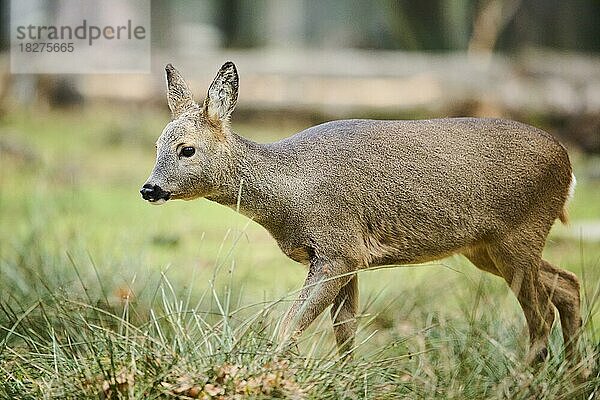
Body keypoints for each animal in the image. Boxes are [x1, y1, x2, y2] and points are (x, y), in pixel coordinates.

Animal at [139, 61, 580, 366]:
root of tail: (568, 165)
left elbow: (289, 326)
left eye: (186, 149)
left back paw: (526, 380)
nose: (149, 188)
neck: (290, 194)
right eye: (157, 145)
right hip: (486, 247)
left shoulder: (339, 248)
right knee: (568, 285)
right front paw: (346, 377)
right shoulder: (349, 257)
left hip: (519, 233)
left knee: (541, 315)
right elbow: (344, 331)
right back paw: (574, 376)